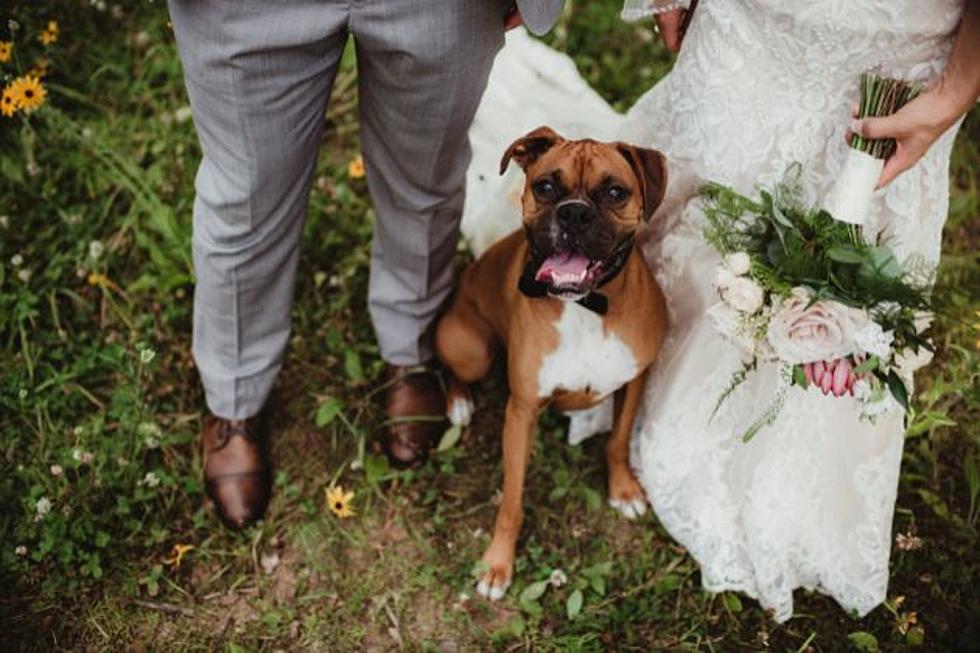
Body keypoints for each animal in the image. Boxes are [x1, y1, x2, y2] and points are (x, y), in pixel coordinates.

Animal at [434, 125, 668, 600]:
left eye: (614, 192)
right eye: (545, 187)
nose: (574, 213)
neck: (585, 307)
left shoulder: (635, 380)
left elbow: (617, 441)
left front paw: (624, 490)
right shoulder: (522, 411)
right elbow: (512, 500)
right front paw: (497, 564)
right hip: (472, 350)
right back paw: (459, 403)